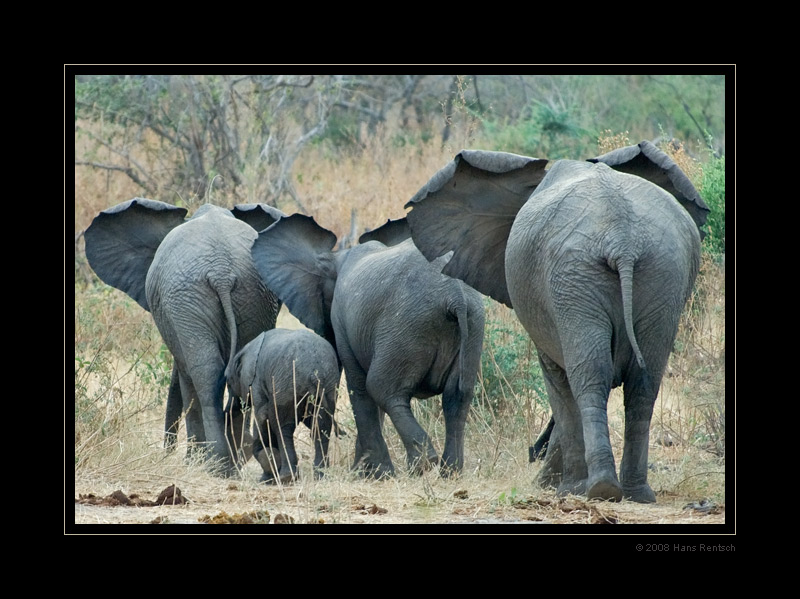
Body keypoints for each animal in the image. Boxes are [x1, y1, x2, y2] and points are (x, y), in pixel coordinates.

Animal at [83, 199, 284, 476]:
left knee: (204, 371)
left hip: (186, 300)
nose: (165, 452)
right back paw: (235, 461)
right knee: (242, 371)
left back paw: (217, 463)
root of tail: (221, 272)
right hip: (252, 296)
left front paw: (193, 461)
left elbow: (186, 374)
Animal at [225, 326, 340, 486]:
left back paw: (286, 477)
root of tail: (315, 372)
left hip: (285, 385)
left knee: (282, 425)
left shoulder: (257, 381)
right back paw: (320, 476)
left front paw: (266, 476)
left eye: (228, 382)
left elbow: (262, 417)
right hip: (328, 385)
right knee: (322, 426)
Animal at [253, 216, 484, 478]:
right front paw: (365, 471)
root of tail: (455, 295)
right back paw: (449, 471)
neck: (338, 257)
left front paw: (374, 474)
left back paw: (422, 464)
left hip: (406, 326)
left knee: (382, 389)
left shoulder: (343, 320)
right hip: (472, 325)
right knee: (458, 396)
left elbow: (359, 388)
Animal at [406, 141, 708, 502]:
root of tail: (622, 237)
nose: (531, 453)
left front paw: (558, 486)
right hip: (657, 273)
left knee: (587, 376)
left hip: (575, 277)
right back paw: (635, 492)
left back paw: (595, 488)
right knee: (643, 381)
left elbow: (556, 380)